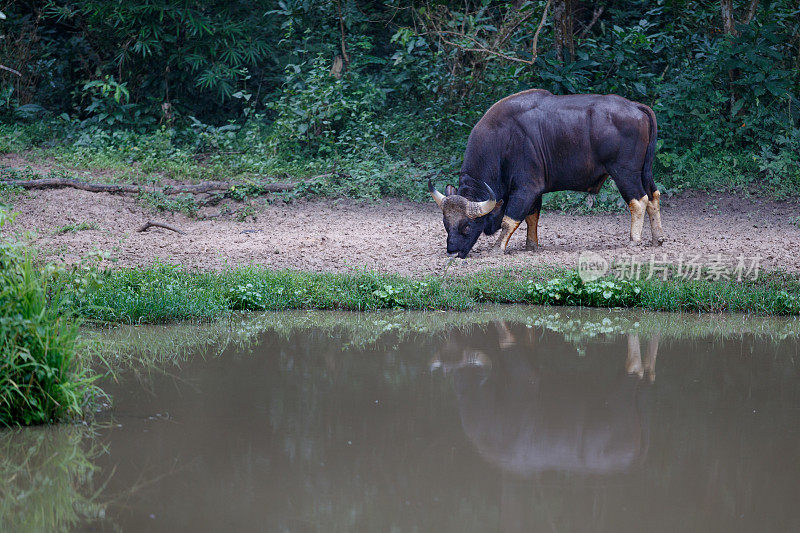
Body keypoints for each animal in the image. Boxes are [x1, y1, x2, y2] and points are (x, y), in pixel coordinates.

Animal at [432, 89, 664, 258]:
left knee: (638, 201)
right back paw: (657, 239)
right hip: (644, 171)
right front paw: (531, 245)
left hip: (624, 172)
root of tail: (636, 106)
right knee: (653, 196)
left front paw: (498, 248)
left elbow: (510, 219)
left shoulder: (526, 188)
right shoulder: (534, 191)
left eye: (467, 226)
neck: (502, 140)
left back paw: (634, 240)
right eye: (446, 225)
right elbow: (532, 217)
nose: (452, 252)